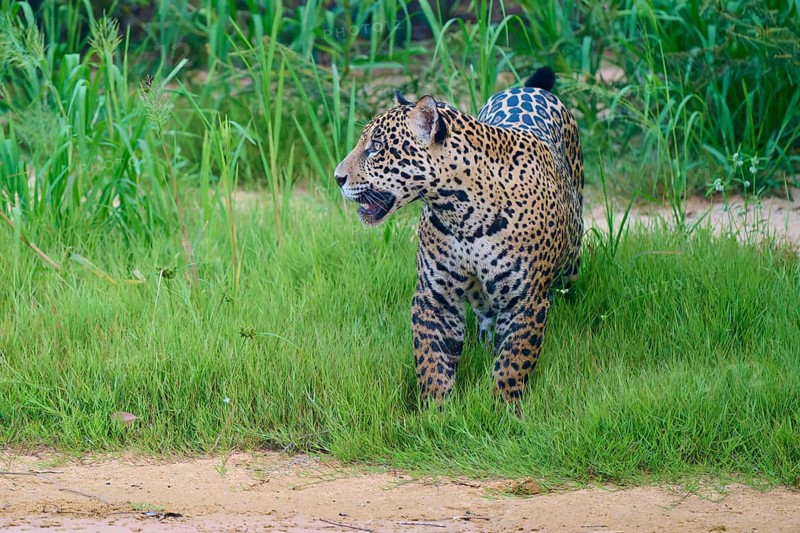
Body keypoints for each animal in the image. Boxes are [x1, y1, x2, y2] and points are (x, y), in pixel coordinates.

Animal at [333, 67, 583, 403]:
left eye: (376, 146)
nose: (337, 177)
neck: (463, 215)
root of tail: (529, 88)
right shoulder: (434, 294)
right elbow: (432, 359)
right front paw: (436, 409)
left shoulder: (525, 300)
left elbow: (513, 362)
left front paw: (503, 407)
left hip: (571, 259)